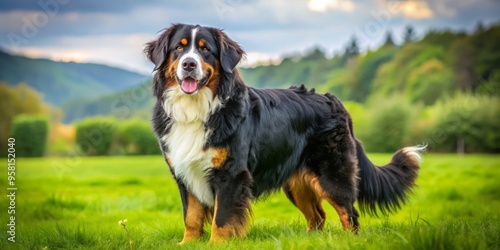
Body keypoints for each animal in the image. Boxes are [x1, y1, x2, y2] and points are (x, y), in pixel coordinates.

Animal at [146, 23, 426, 244]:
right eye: (179, 48)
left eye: (205, 50)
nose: (189, 64)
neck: (196, 109)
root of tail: (333, 100)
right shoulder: (186, 173)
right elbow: (191, 217)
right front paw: (187, 244)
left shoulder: (231, 174)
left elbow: (222, 219)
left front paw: (216, 244)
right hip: (296, 183)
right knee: (318, 217)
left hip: (331, 175)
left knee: (349, 214)